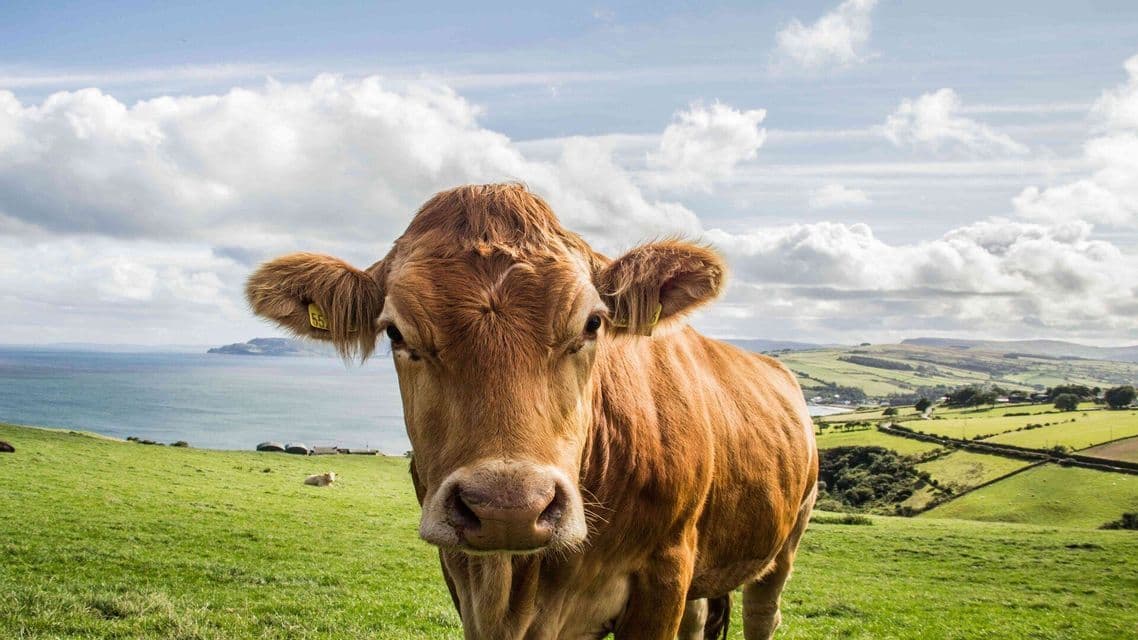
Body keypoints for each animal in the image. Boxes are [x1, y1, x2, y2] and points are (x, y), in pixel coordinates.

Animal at [246, 184, 818, 639]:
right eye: (395, 333)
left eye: (593, 323)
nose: (508, 507)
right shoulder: (463, 576)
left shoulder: (664, 572)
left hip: (786, 539)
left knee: (763, 613)